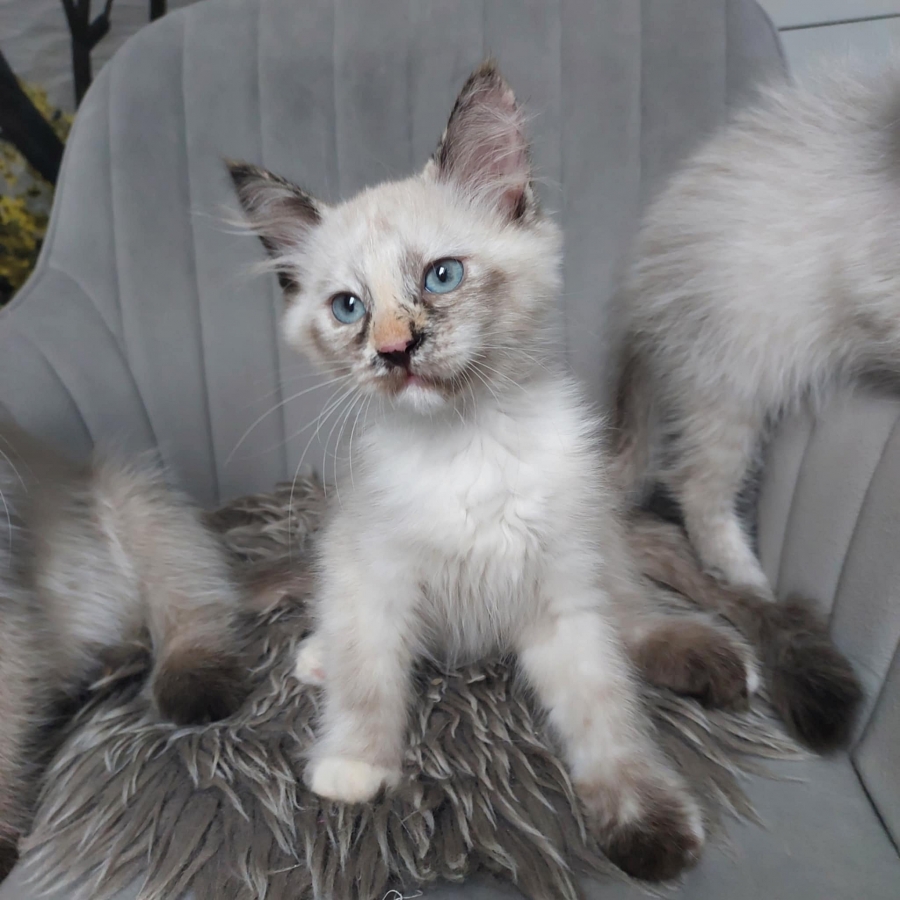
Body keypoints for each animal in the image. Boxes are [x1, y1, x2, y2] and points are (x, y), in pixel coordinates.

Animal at [228, 60, 765, 882]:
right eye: (348, 308)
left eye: (441, 276)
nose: (394, 351)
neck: (466, 444)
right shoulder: (374, 575)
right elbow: (370, 678)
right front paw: (355, 768)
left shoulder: (560, 596)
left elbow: (606, 716)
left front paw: (646, 822)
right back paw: (318, 658)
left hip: (595, 550)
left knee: (634, 616)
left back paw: (712, 658)